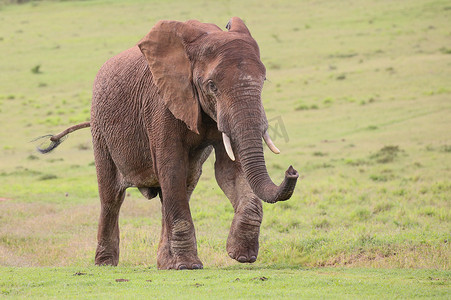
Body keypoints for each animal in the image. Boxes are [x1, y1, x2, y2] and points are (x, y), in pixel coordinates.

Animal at [38, 17, 298, 270]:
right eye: (212, 85)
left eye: (264, 80)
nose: (292, 170)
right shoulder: (160, 103)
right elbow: (171, 167)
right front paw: (188, 266)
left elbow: (229, 171)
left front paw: (241, 256)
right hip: (101, 130)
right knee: (112, 196)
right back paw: (106, 264)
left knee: (183, 186)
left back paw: (164, 264)